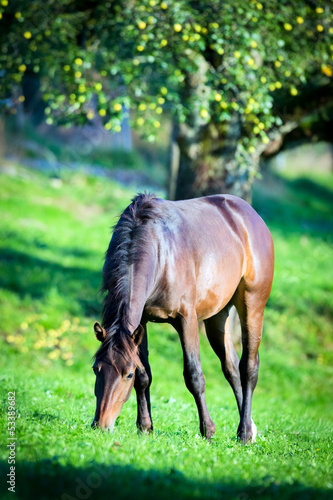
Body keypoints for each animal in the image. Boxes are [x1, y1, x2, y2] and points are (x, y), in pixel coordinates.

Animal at [90, 191, 272, 442]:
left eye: (127, 374)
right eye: (96, 369)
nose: (100, 425)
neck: (158, 251)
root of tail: (250, 214)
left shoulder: (186, 319)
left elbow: (194, 376)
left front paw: (208, 430)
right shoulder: (140, 323)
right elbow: (145, 375)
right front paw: (145, 426)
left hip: (252, 306)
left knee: (249, 368)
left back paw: (244, 432)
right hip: (217, 318)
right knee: (232, 368)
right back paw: (250, 428)